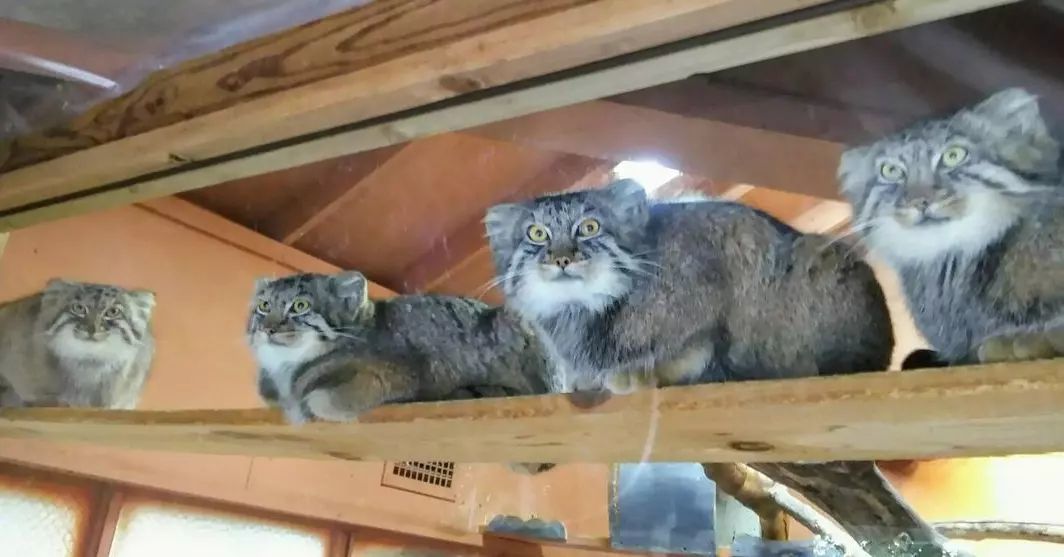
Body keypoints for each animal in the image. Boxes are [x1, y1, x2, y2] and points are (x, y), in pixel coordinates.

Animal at [487, 179, 893, 391]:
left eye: (589, 227)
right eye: (536, 233)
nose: (561, 258)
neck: (585, 311)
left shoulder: (718, 253)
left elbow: (692, 345)